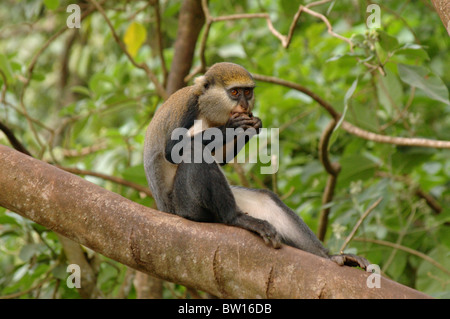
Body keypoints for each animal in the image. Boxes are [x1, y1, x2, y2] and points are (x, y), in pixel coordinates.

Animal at [143, 62, 370, 270]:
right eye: (235, 92)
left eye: (248, 92)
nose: (244, 105)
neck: (206, 109)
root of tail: (167, 210)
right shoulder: (189, 107)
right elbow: (173, 149)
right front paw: (232, 127)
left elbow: (221, 159)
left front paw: (254, 125)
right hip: (186, 206)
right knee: (195, 152)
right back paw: (236, 218)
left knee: (266, 199)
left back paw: (330, 257)